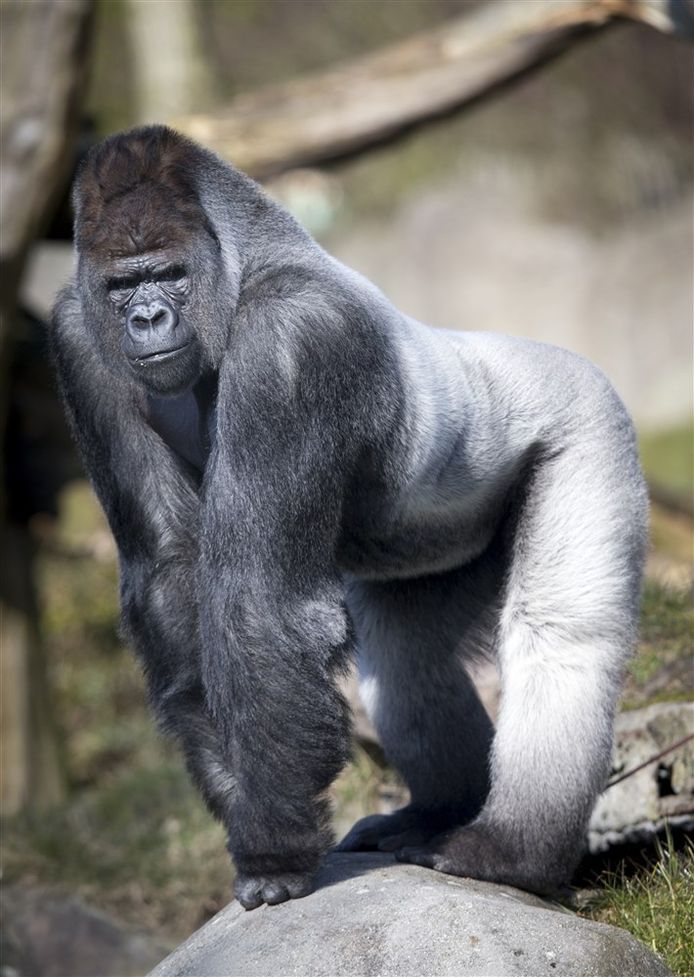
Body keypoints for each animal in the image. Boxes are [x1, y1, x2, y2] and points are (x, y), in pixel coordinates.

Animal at [50, 126, 652, 912]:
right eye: (122, 286)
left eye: (170, 275)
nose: (146, 318)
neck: (238, 262)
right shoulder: (76, 335)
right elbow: (169, 565)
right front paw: (238, 794)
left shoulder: (294, 339)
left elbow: (260, 600)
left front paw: (273, 845)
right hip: (441, 546)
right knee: (405, 657)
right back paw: (435, 811)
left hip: (589, 417)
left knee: (561, 635)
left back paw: (512, 852)